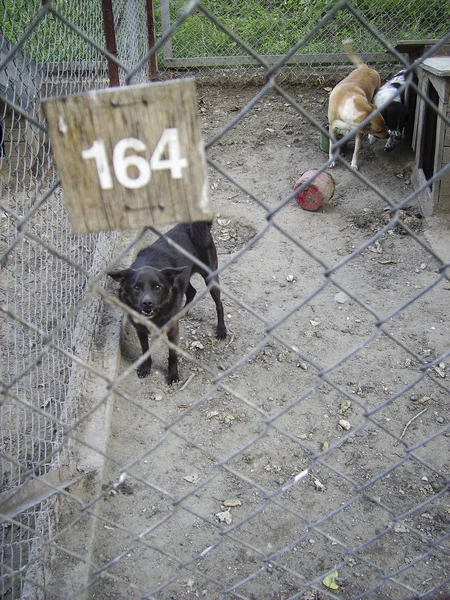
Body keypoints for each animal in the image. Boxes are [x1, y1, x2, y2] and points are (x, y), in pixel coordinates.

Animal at [108, 221, 227, 384]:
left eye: (157, 287)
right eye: (136, 287)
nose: (147, 303)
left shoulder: (173, 331)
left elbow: (172, 355)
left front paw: (173, 374)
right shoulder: (140, 329)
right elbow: (145, 350)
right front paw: (146, 368)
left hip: (210, 277)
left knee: (219, 304)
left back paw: (221, 329)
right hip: (184, 276)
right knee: (191, 291)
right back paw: (183, 311)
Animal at [328, 39, 388, 171]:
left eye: (385, 124)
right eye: (379, 130)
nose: (388, 135)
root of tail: (366, 67)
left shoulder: (359, 132)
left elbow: (356, 150)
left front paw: (354, 164)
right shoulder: (332, 127)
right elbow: (332, 146)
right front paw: (331, 161)